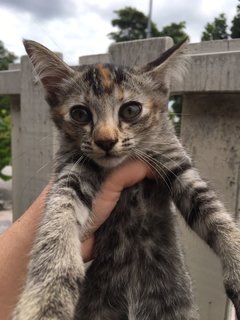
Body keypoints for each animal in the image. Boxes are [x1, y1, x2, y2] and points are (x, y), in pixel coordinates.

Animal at [13, 40, 240, 320]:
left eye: (131, 110)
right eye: (80, 114)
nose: (106, 141)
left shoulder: (177, 162)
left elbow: (215, 213)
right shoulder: (71, 170)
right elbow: (58, 218)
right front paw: (47, 297)